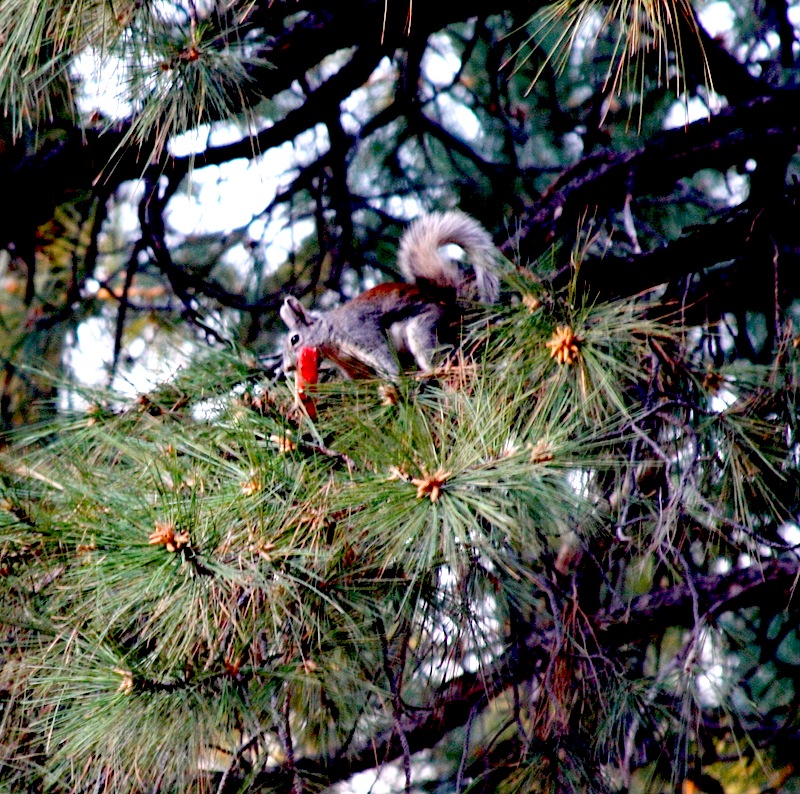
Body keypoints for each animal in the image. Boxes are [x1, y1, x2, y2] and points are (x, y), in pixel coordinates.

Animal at [278, 210, 496, 378]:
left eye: (294, 339)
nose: (287, 369)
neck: (332, 343)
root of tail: (448, 303)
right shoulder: (352, 365)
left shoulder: (361, 333)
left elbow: (383, 355)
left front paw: (395, 379)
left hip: (422, 328)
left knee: (435, 352)